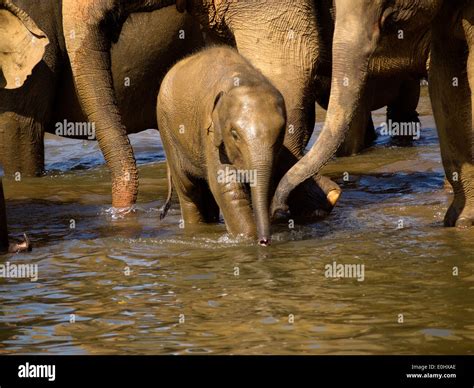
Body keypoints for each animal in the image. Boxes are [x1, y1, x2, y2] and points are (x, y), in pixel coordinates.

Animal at [157, 46, 286, 246]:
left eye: (280, 134)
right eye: (234, 135)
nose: (264, 241)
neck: (242, 79)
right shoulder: (210, 131)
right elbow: (224, 184)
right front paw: (247, 238)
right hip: (167, 131)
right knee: (188, 189)